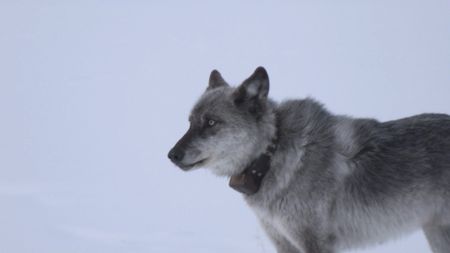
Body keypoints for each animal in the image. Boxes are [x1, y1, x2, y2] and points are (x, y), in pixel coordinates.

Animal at [166, 66, 450, 252]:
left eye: (211, 123)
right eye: (190, 122)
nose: (171, 155)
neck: (271, 156)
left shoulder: (314, 243)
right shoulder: (283, 242)